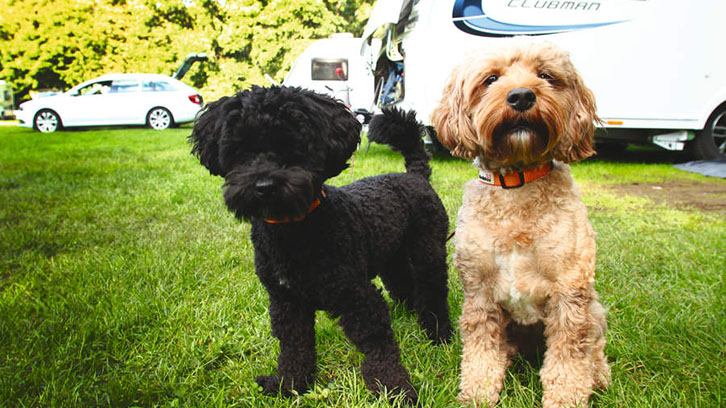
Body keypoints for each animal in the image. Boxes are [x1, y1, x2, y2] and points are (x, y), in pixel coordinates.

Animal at [192, 86, 456, 404]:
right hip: (391, 255)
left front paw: (394, 390)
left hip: (428, 251)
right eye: (241, 149)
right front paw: (288, 385)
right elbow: (295, 348)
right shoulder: (286, 301)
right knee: (403, 282)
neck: (295, 232)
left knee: (433, 292)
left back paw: (439, 334)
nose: (264, 186)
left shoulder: (357, 297)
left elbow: (378, 346)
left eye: (294, 144)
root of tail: (415, 175)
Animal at [436, 39, 612, 408]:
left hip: (594, 307)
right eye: (491, 79)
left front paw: (566, 398)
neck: (516, 185)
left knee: (595, 346)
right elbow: (481, 350)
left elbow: (570, 357)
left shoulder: (570, 293)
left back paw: (600, 376)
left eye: (545, 75)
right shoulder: (479, 293)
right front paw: (478, 392)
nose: (521, 96)